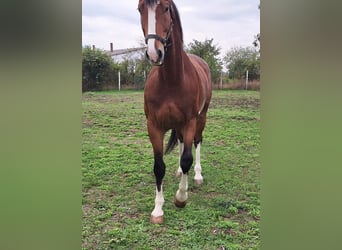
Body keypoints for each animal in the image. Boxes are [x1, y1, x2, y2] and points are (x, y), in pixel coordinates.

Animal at [137, 0, 211, 224]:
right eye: (140, 8)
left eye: (166, 8)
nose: (154, 53)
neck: (171, 79)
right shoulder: (154, 126)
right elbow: (159, 166)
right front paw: (157, 210)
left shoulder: (189, 122)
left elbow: (187, 158)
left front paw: (181, 197)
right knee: (180, 143)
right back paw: (179, 171)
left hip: (201, 117)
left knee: (196, 143)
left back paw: (197, 176)